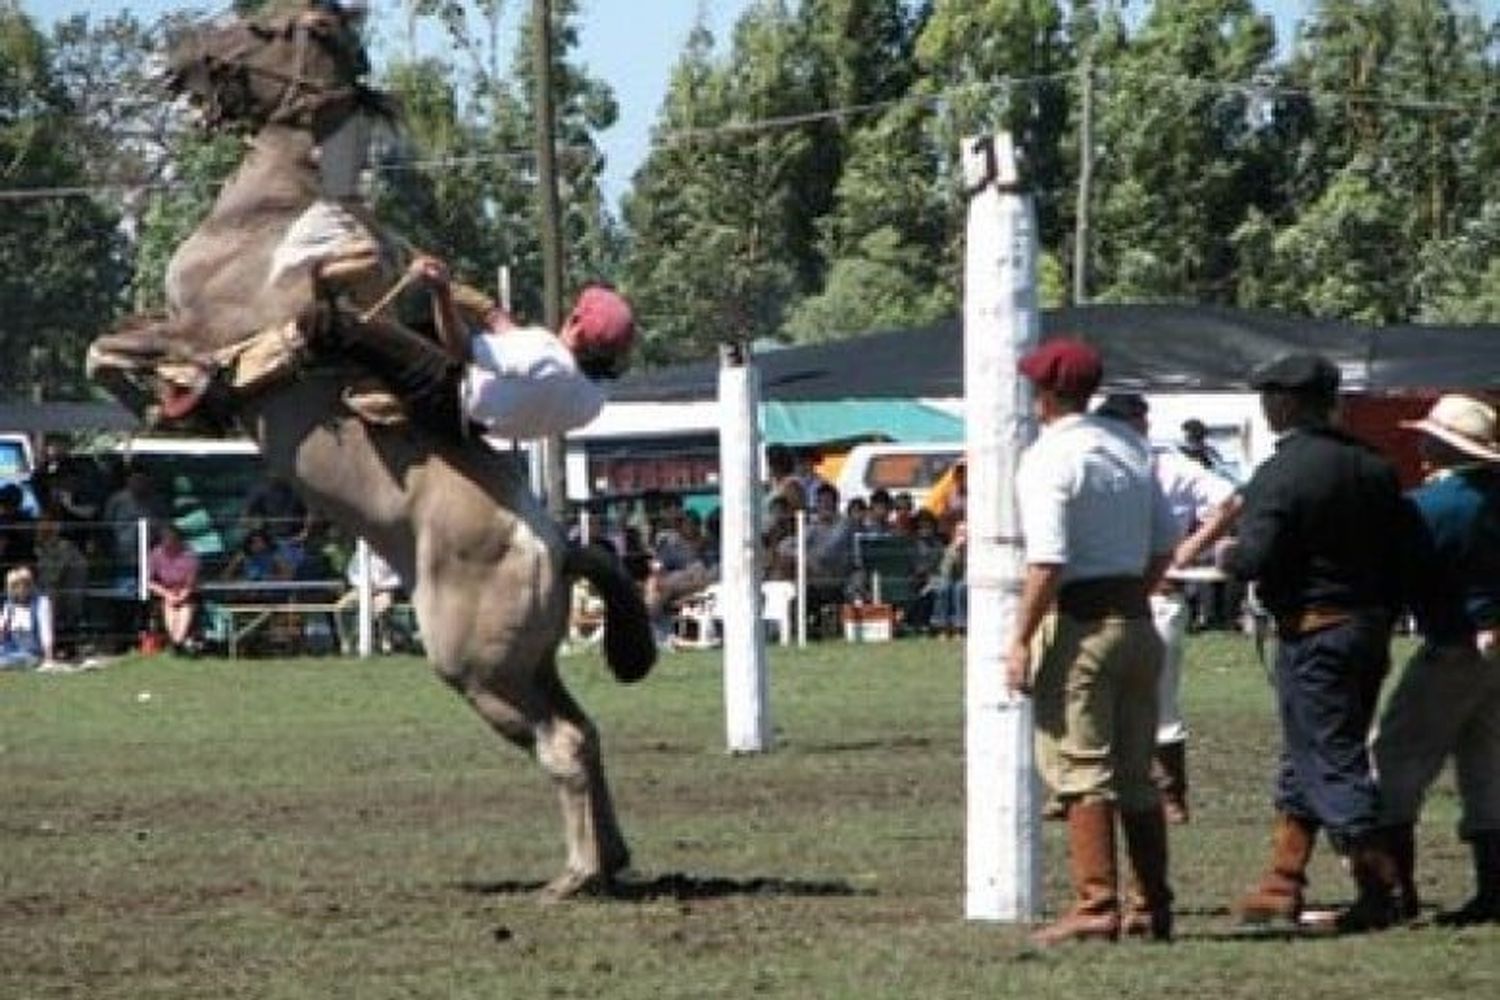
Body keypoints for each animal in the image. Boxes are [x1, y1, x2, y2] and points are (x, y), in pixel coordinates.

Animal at [86, 0, 657, 905]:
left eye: (265, 29)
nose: (179, 59)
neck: (282, 216)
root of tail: (557, 545)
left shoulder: (201, 323)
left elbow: (111, 352)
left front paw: (178, 392)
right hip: (528, 664)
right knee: (584, 729)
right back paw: (610, 860)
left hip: (477, 669)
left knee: (561, 743)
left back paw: (573, 877)